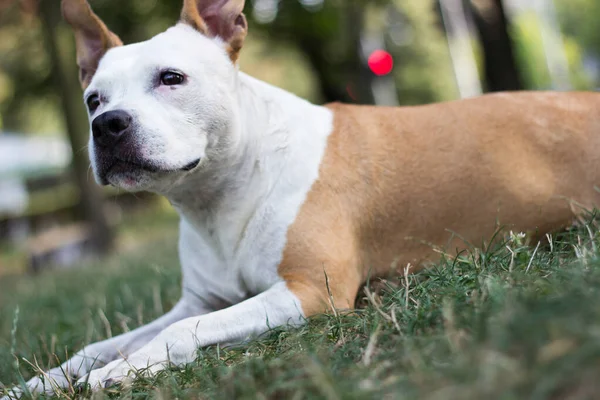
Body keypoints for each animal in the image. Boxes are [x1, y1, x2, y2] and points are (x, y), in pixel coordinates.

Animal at [3, 0, 600, 396]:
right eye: (92, 99)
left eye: (171, 78)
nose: (107, 125)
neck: (219, 199)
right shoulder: (203, 299)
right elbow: (96, 345)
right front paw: (38, 383)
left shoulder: (310, 291)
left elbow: (177, 332)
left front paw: (118, 372)